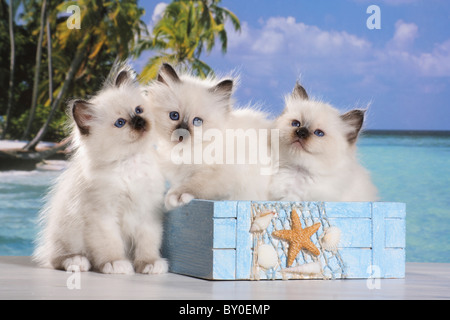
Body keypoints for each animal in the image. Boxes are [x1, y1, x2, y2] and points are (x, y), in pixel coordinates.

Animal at [32, 63, 168, 276]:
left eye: (138, 110)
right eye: (120, 123)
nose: (138, 121)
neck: (130, 162)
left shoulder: (148, 212)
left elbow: (148, 243)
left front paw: (149, 264)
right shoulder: (103, 216)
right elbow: (111, 245)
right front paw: (116, 264)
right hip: (66, 234)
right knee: (58, 259)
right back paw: (78, 262)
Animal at [148, 64, 272, 210]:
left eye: (197, 121)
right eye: (174, 116)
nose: (181, 134)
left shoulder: (225, 173)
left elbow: (196, 183)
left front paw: (174, 197)